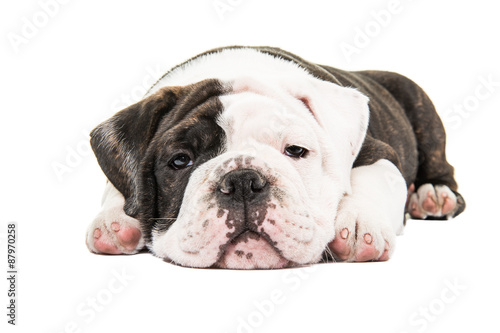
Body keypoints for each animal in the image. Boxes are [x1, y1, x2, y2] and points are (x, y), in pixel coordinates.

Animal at [85, 46, 464, 268]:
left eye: (295, 151)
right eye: (180, 161)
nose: (242, 181)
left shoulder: (380, 153)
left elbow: (368, 179)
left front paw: (359, 223)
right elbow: (116, 184)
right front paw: (115, 218)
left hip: (420, 106)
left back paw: (433, 194)